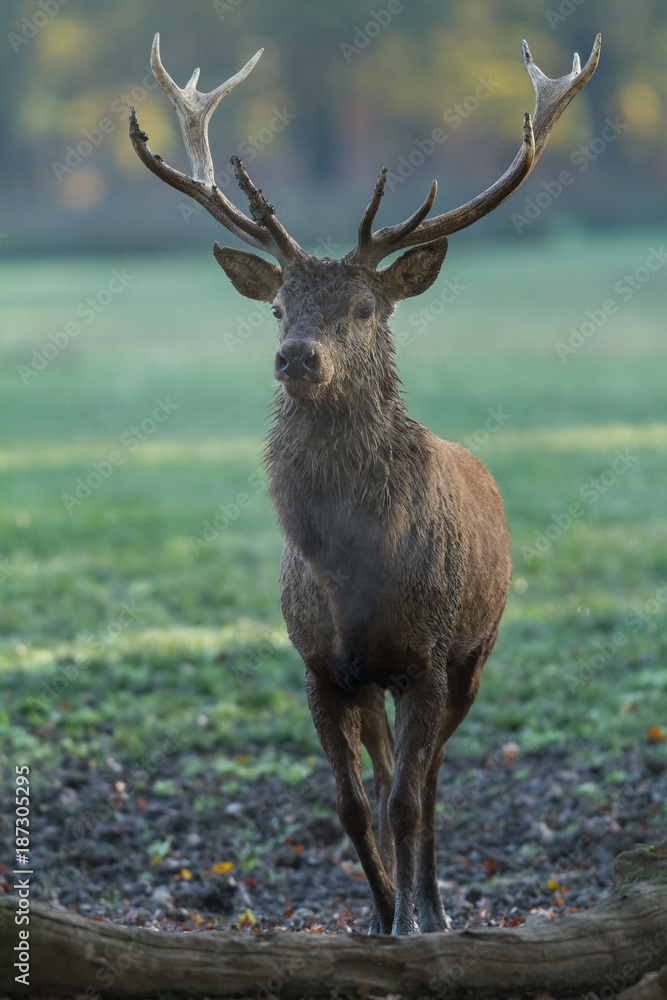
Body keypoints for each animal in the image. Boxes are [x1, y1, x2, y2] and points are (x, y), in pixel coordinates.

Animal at [130, 32, 600, 935]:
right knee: (388, 777)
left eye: (362, 309)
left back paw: (437, 904)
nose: (296, 358)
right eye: (277, 307)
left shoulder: (426, 653)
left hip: (477, 649)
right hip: (377, 681)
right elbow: (352, 804)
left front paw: (412, 919)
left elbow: (409, 800)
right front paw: (377, 918)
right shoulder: (319, 665)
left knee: (432, 777)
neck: (351, 570)